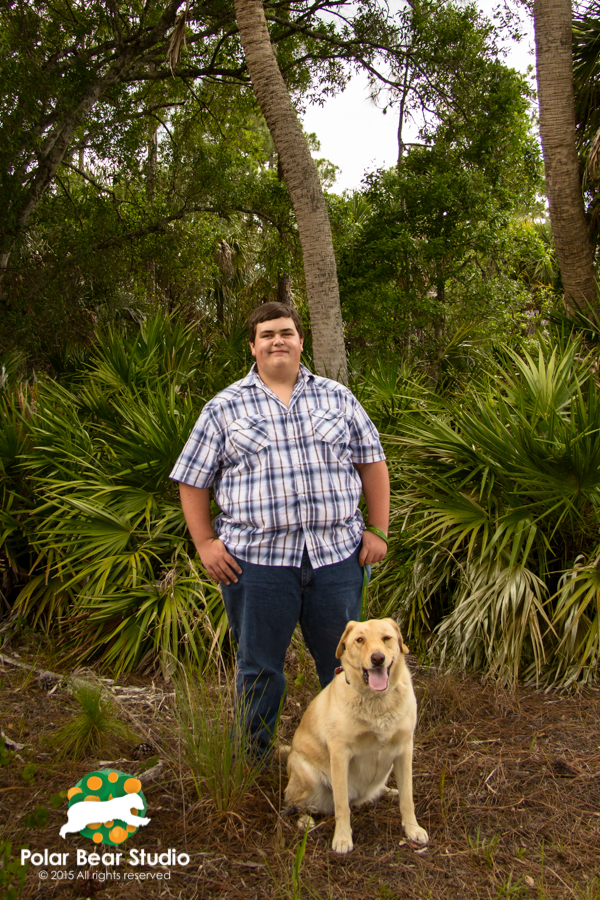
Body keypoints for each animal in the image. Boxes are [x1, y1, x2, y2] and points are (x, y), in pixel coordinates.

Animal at [284, 616, 428, 856]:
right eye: (360, 640)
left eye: (386, 638)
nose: (378, 658)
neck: (377, 701)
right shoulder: (340, 754)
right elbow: (341, 803)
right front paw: (342, 838)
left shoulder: (405, 748)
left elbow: (407, 797)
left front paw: (412, 829)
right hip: (307, 775)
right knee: (292, 802)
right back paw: (305, 820)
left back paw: (388, 791)